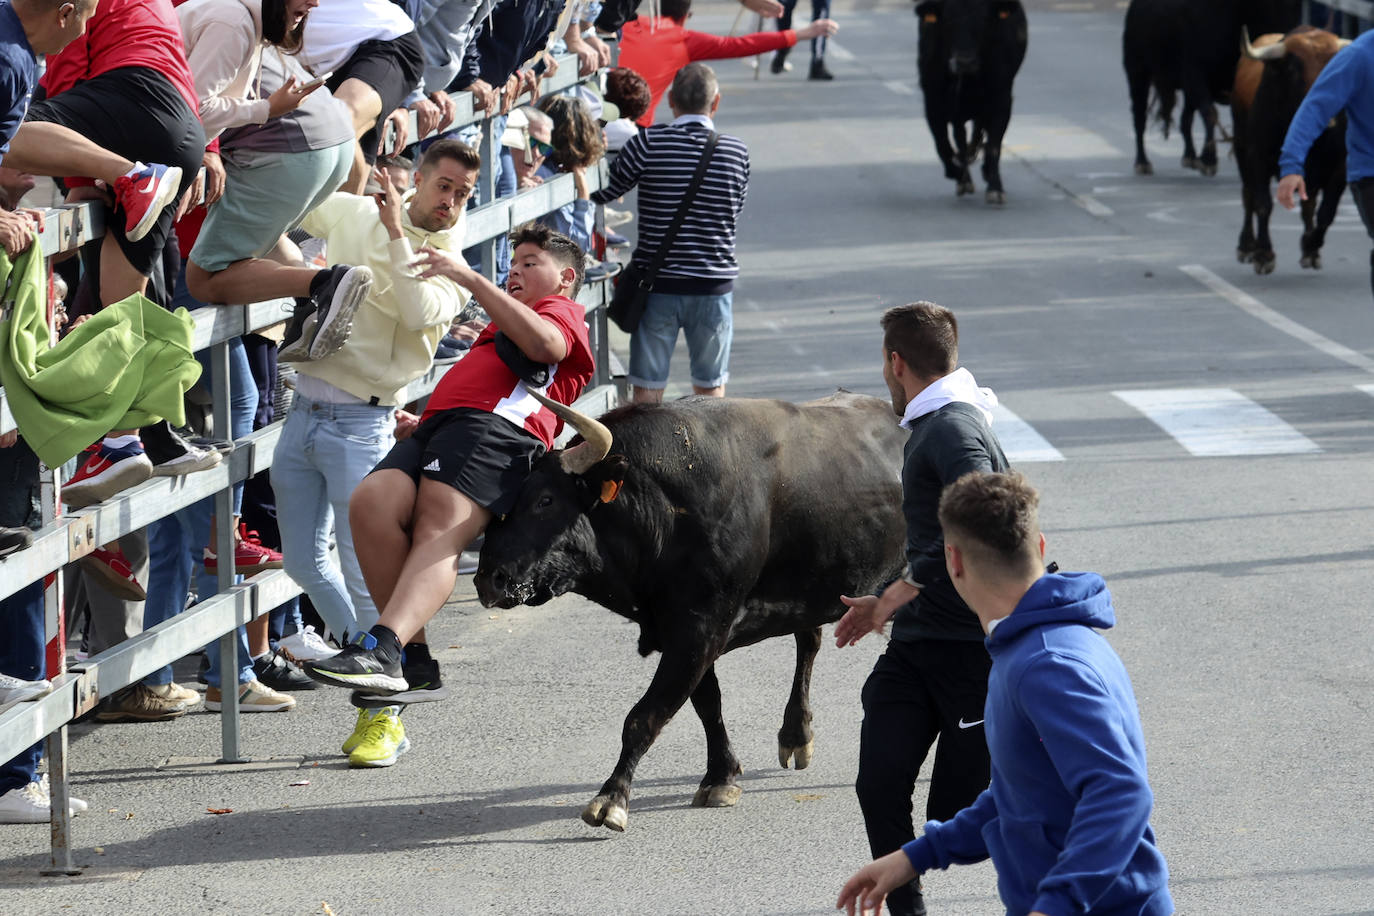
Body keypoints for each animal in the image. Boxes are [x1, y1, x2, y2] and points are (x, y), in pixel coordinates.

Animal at [475, 390, 912, 834]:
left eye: (546, 500)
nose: (489, 579)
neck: (665, 507)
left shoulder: (700, 630)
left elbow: (644, 716)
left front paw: (611, 798)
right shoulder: (685, 633)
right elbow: (707, 704)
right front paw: (720, 777)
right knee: (809, 642)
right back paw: (796, 734)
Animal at [917, 0, 1027, 205]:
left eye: (984, 20)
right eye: (948, 19)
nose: (965, 61)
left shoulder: (1002, 99)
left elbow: (994, 145)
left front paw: (995, 188)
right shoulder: (933, 101)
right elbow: (943, 144)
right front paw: (958, 175)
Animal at [1121, 0, 1302, 177]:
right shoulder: (1195, 75)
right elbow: (1210, 114)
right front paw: (1209, 160)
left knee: (1185, 118)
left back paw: (1190, 156)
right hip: (1137, 74)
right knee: (1139, 117)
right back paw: (1142, 162)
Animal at [1231, 25, 1346, 271]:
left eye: (1337, 66)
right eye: (1294, 70)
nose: (1329, 119)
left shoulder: (1340, 167)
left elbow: (1326, 212)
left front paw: (1311, 246)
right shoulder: (1258, 158)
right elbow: (1262, 204)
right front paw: (1264, 254)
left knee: (1309, 205)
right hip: (1240, 149)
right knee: (1248, 196)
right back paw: (1246, 246)